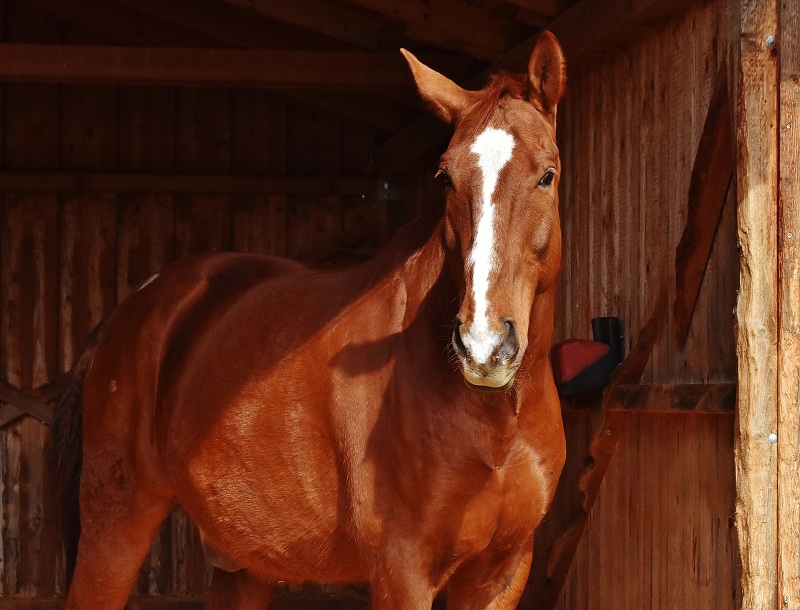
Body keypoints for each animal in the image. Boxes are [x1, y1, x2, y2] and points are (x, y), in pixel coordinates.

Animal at [48, 29, 568, 608]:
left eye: (547, 175)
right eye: (445, 178)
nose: (482, 345)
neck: (495, 420)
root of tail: (131, 308)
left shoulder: (501, 573)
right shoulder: (403, 570)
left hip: (242, 565)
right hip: (115, 527)